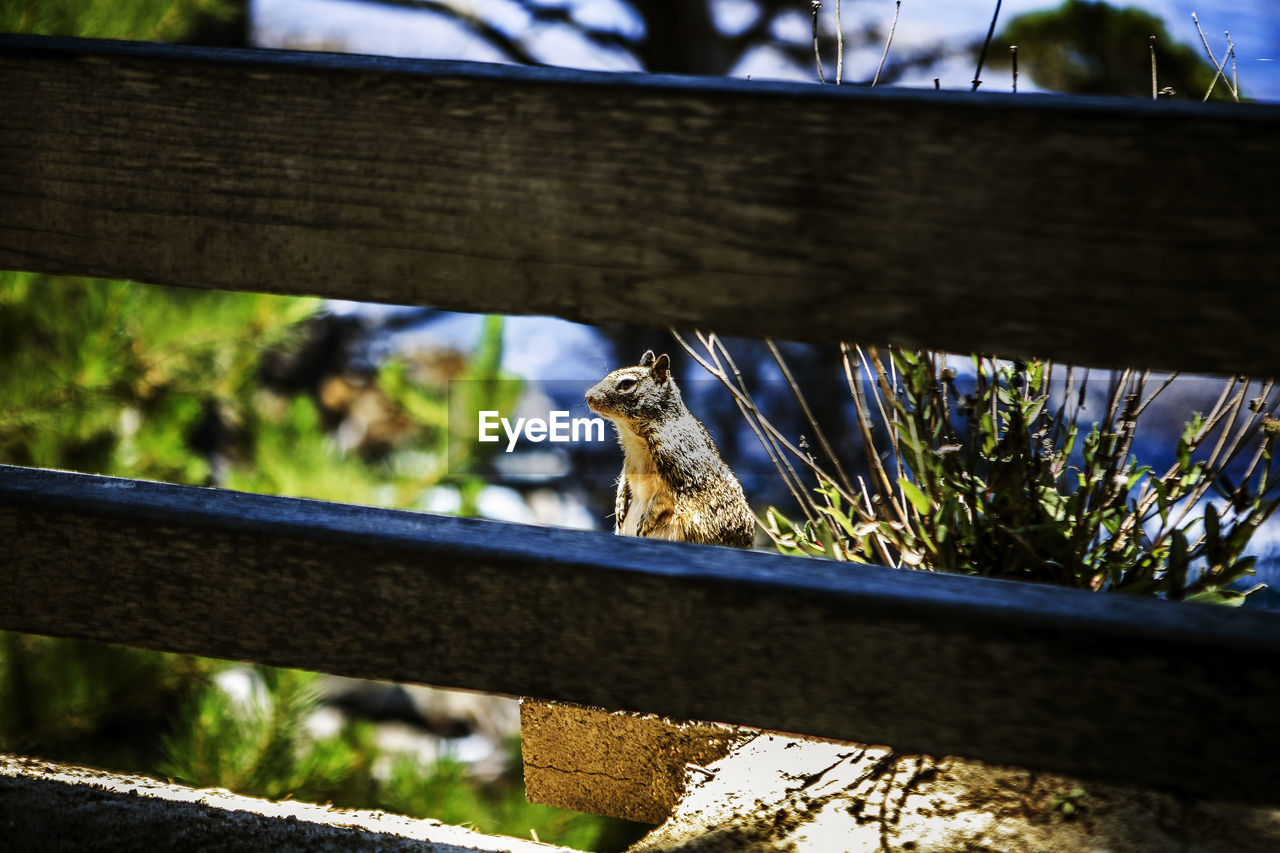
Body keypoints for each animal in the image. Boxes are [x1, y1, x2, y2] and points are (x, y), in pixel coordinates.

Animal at [586, 350, 752, 545]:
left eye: (627, 384)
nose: (588, 396)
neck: (634, 438)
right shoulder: (629, 463)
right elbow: (624, 481)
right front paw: (619, 505)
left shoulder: (680, 472)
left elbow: (664, 499)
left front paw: (647, 520)